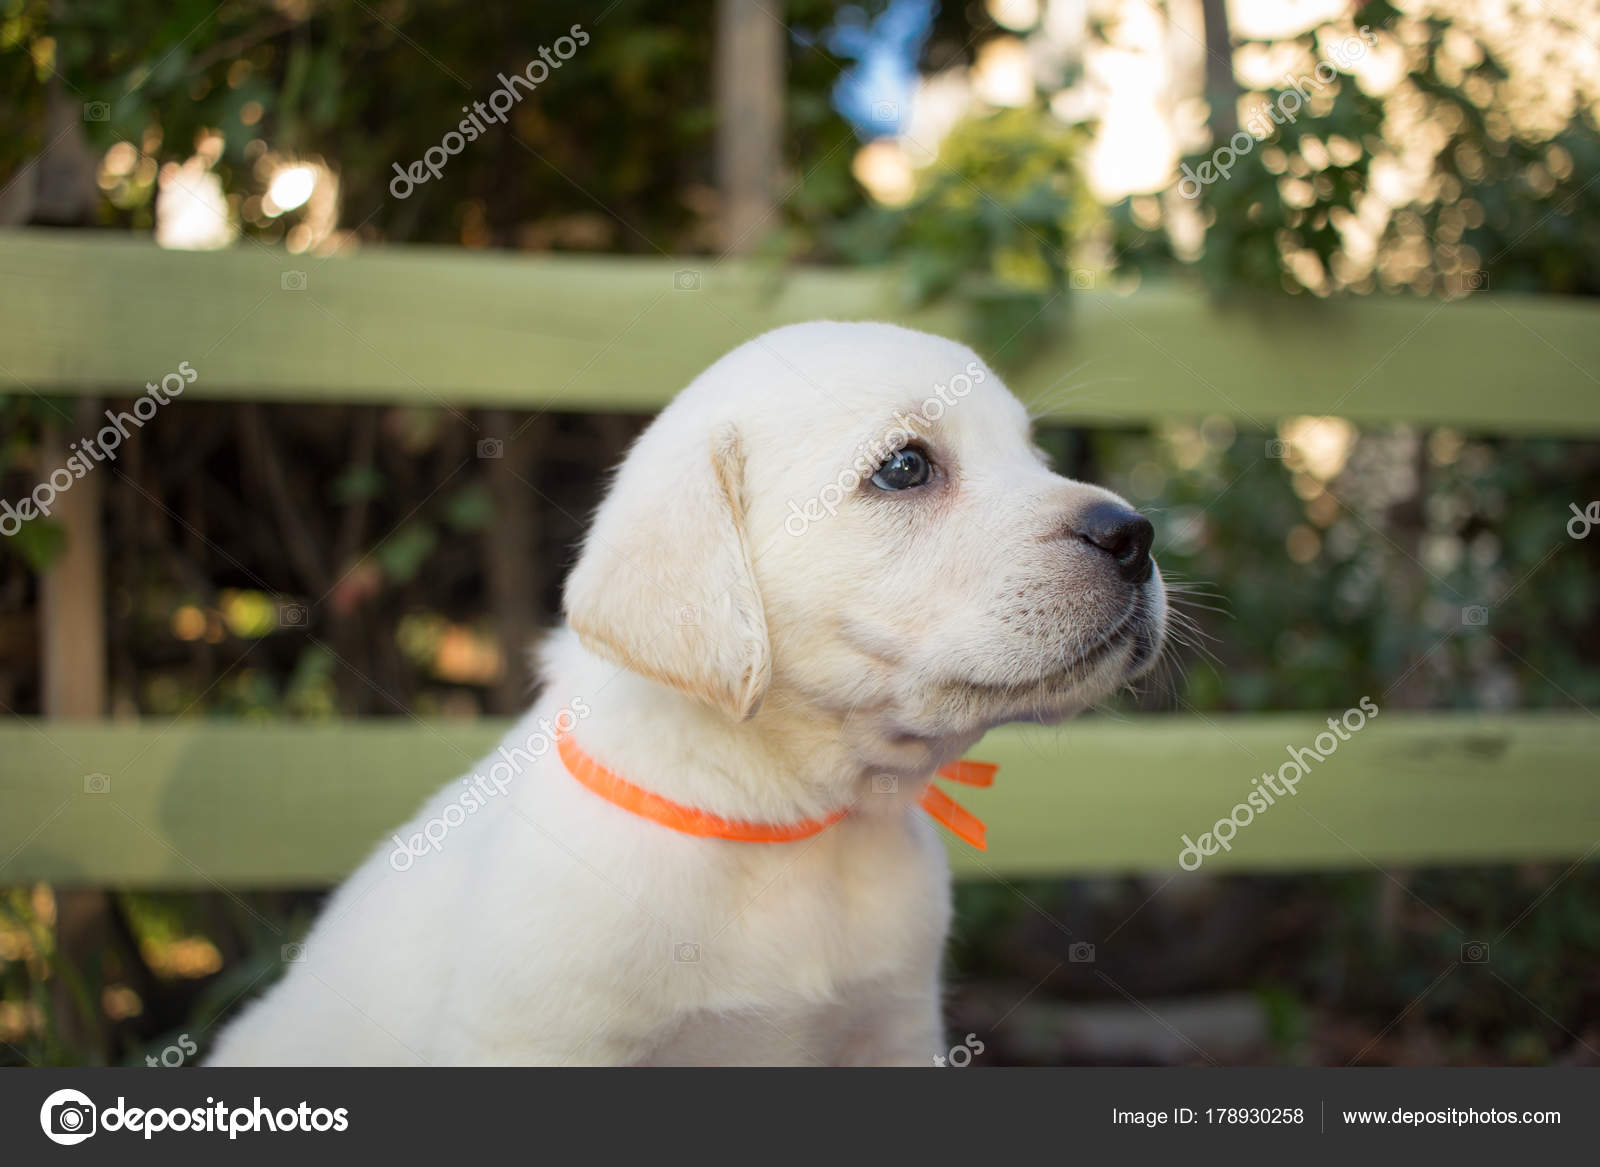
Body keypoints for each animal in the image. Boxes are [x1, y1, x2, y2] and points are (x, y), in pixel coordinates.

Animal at [209, 318, 1164, 1062]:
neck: (791, 817)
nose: (1135, 533)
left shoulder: (892, 1031)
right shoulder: (537, 1044)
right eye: (904, 467)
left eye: (1036, 455)